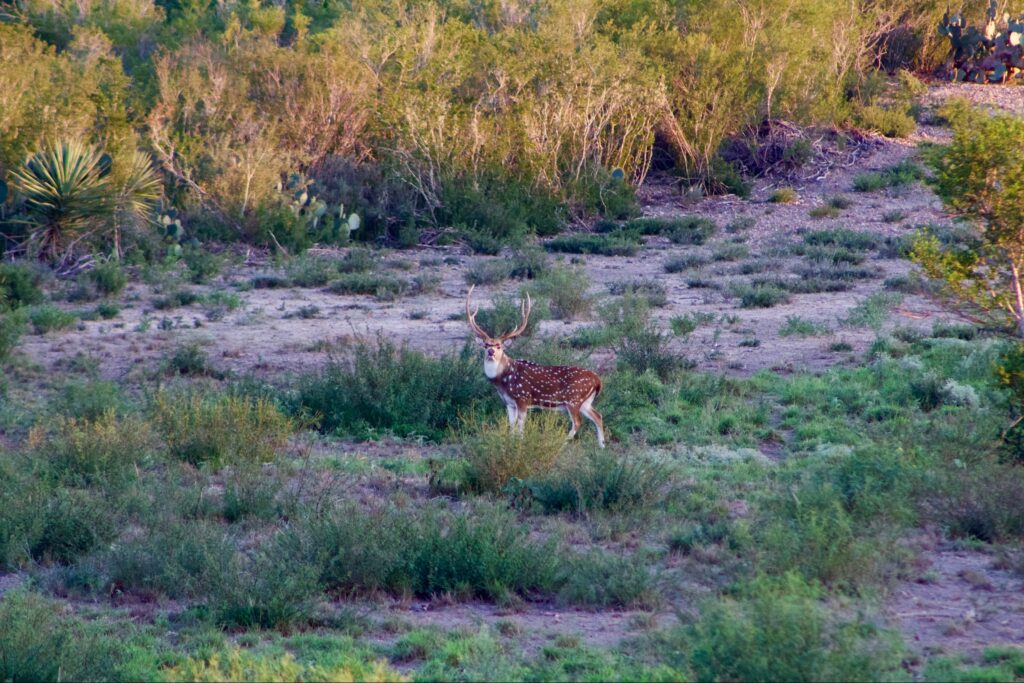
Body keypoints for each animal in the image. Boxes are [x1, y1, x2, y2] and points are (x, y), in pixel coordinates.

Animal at [465, 285, 606, 448]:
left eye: (499, 345)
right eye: (486, 345)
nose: (491, 352)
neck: (503, 380)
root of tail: (598, 381)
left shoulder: (523, 398)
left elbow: (520, 426)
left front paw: (519, 445)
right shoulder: (509, 403)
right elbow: (511, 426)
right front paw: (511, 444)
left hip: (574, 399)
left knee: (577, 422)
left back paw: (561, 444)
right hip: (585, 402)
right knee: (598, 416)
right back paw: (602, 446)